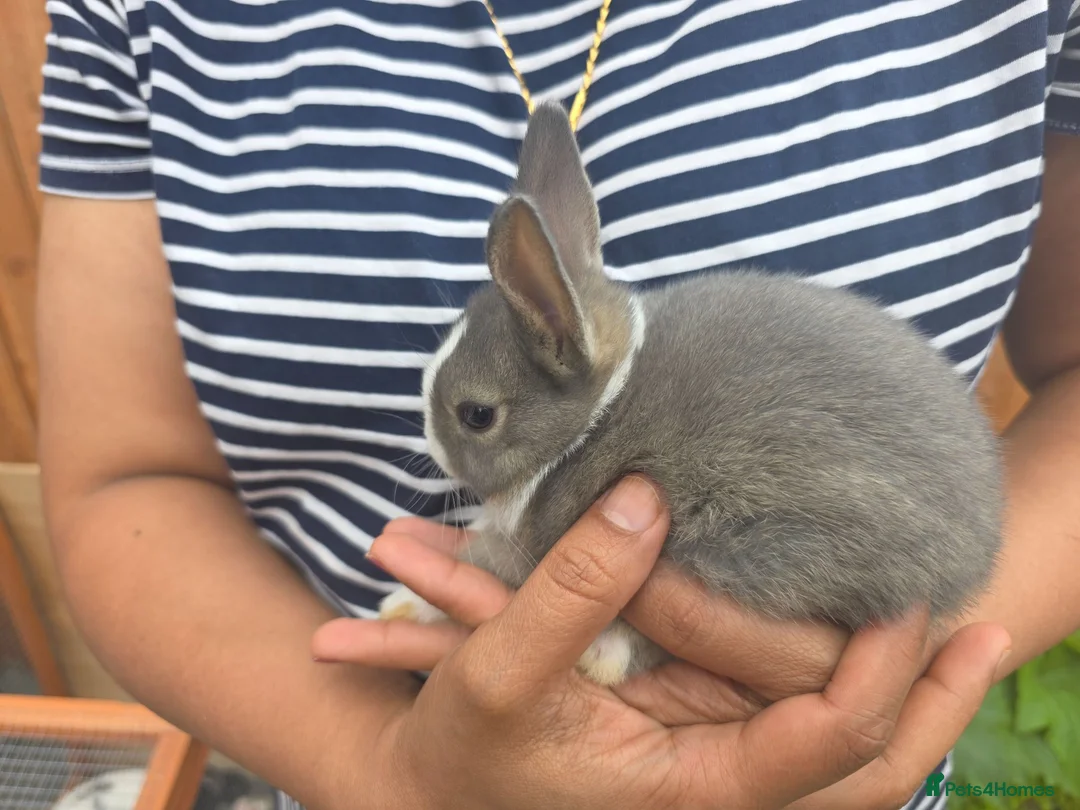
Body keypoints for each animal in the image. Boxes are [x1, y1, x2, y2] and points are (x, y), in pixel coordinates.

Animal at [378, 100, 1003, 686]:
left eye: (477, 415)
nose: (431, 449)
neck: (597, 413)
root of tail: (978, 553)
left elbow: (483, 559)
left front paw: (401, 603)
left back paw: (605, 654)